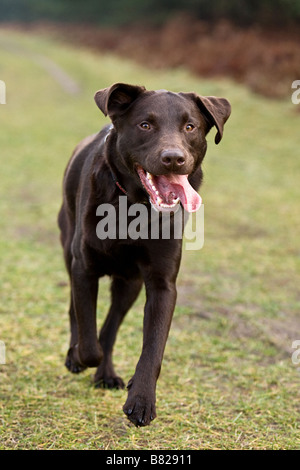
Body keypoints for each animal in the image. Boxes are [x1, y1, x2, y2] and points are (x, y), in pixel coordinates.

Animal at [58, 81, 232, 426]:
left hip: (130, 283)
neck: (134, 208)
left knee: (111, 326)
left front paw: (141, 399)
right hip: (68, 245)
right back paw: (76, 356)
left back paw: (106, 373)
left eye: (190, 127)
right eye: (145, 125)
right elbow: (88, 337)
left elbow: (153, 346)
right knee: (78, 315)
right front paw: (79, 355)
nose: (174, 158)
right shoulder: (84, 266)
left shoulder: (162, 284)